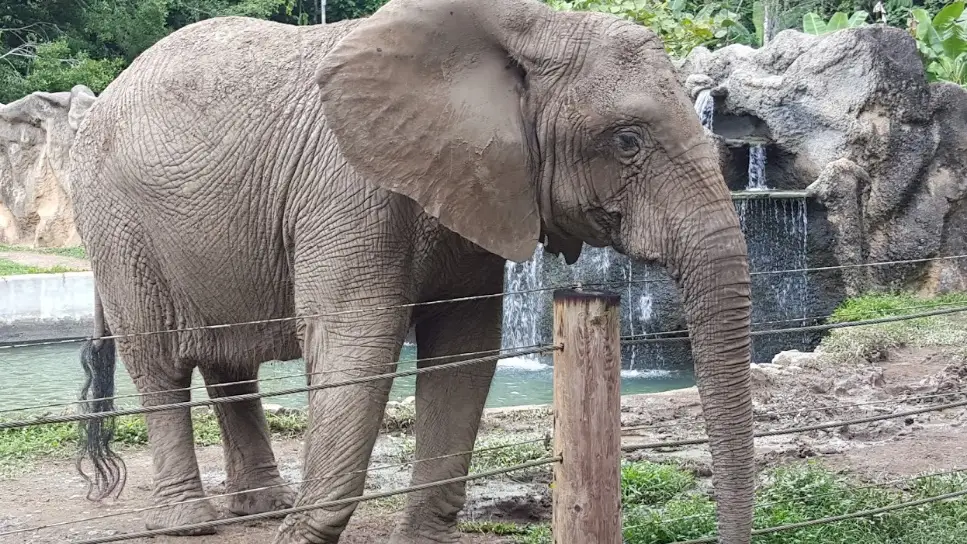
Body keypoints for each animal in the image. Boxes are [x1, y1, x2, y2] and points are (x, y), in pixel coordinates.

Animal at [68, 0, 754, 542]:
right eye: (627, 140)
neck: (527, 26)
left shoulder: (476, 187)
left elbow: (465, 349)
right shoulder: (347, 187)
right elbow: (357, 345)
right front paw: (300, 535)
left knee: (227, 363)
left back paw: (264, 507)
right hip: (118, 228)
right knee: (160, 362)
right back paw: (192, 523)